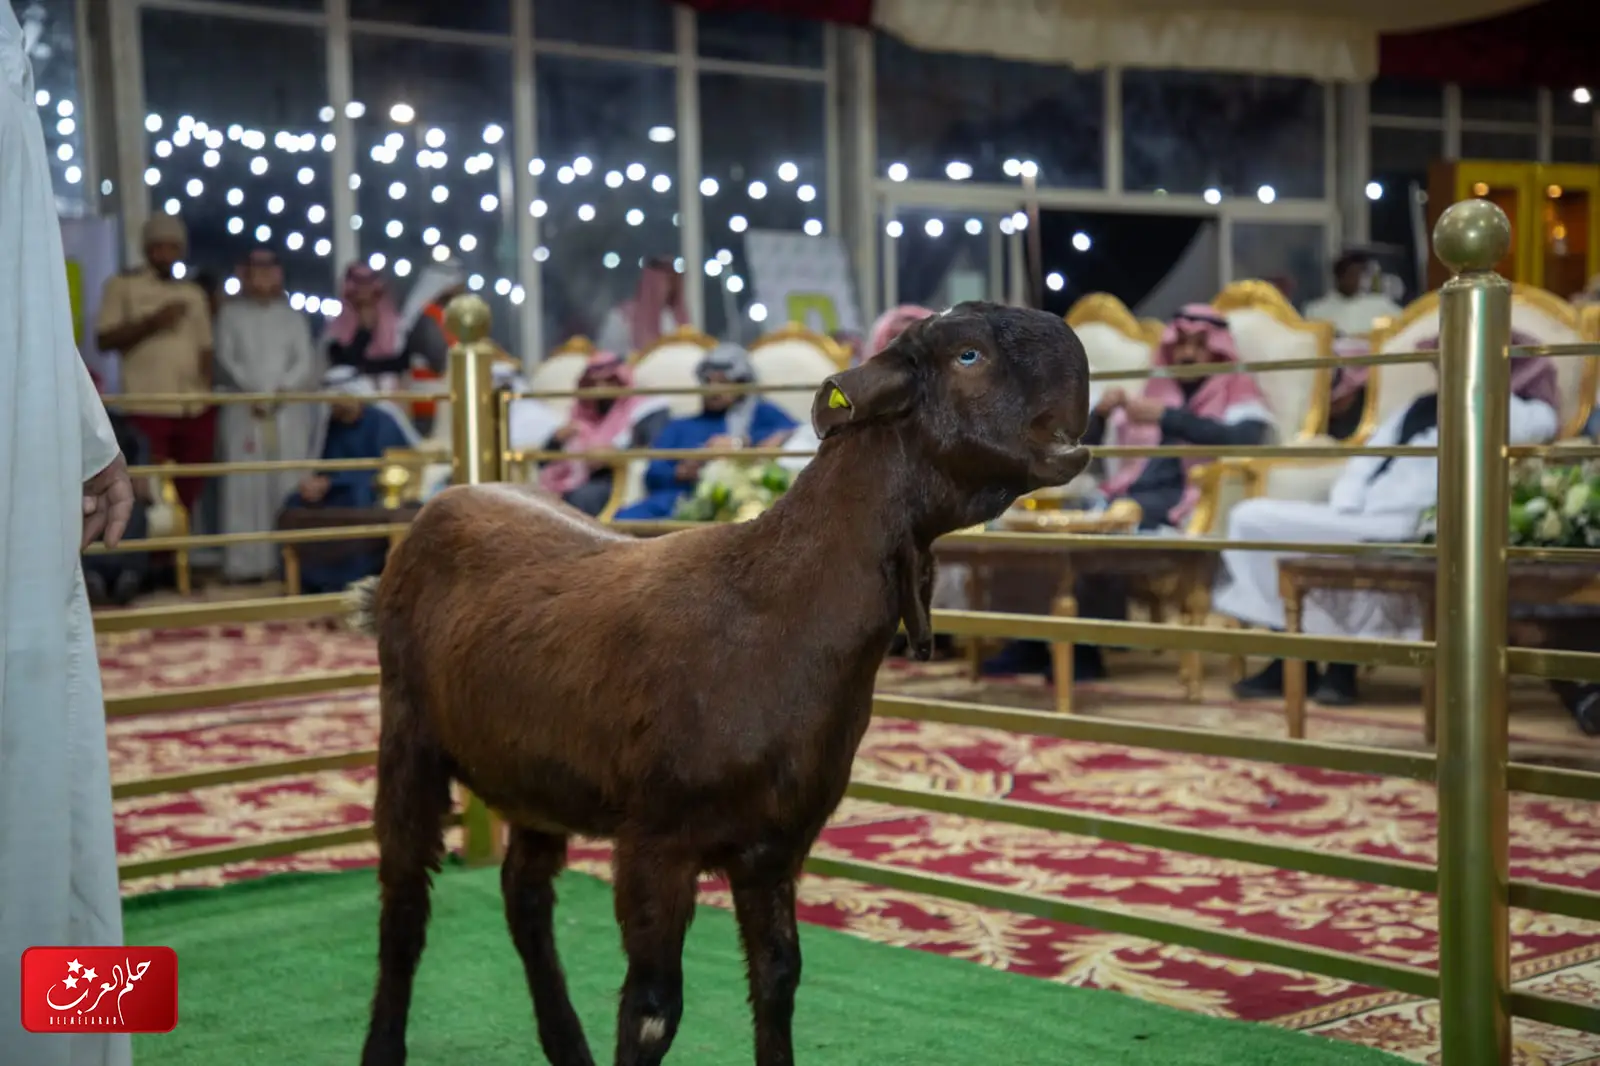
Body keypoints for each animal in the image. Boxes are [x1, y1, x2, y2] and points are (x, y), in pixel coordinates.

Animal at [356, 300, 1094, 1062]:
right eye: (969, 355)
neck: (773, 604)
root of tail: (451, 496)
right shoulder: (656, 841)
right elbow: (653, 1007)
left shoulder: (774, 845)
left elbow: (778, 978)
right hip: (408, 736)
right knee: (404, 904)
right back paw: (384, 1044)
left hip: (535, 776)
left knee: (523, 896)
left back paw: (566, 1044)